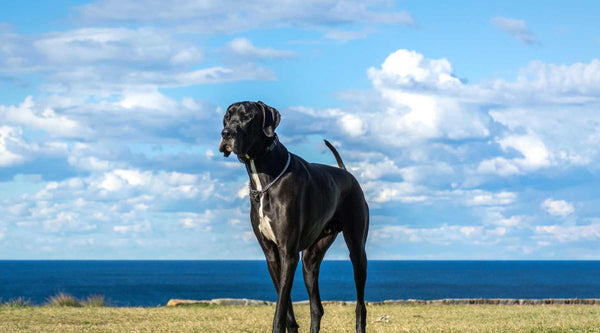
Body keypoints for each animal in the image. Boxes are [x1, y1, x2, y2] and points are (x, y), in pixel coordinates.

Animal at [220, 101, 370, 332]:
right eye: (227, 117)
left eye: (248, 117)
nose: (226, 133)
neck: (264, 180)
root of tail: (346, 173)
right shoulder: (272, 255)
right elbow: (286, 306)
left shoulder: (288, 253)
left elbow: (280, 309)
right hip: (310, 259)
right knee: (316, 307)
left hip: (357, 250)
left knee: (360, 305)